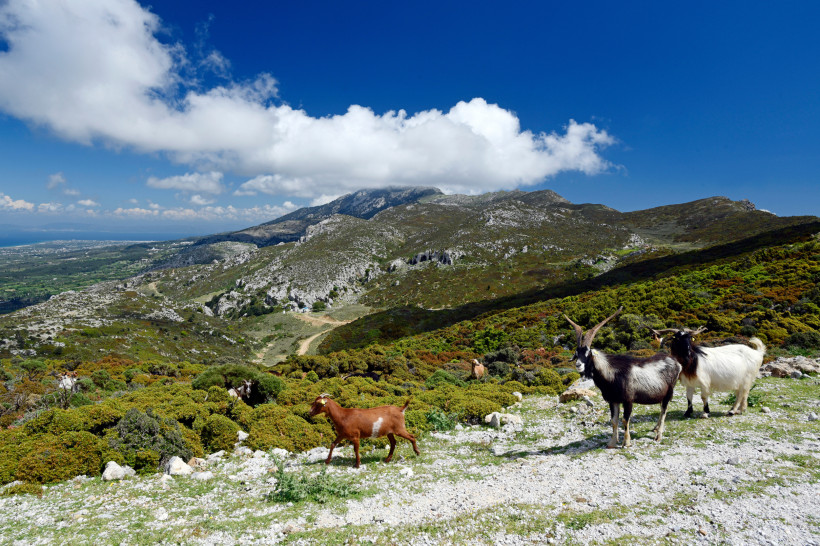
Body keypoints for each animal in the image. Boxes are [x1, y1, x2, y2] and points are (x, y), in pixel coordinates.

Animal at [565, 307, 681, 448]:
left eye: (588, 353)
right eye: (576, 354)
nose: (578, 365)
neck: (612, 373)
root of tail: (675, 362)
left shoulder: (628, 400)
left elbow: (625, 420)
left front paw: (626, 443)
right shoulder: (613, 400)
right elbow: (614, 420)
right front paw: (612, 443)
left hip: (669, 393)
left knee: (664, 411)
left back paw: (658, 436)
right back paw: (655, 428)